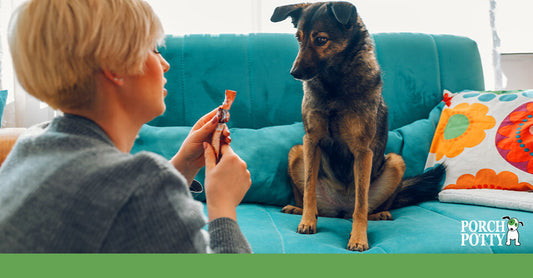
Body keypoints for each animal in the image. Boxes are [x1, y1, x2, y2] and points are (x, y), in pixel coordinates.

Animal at [270, 0, 444, 252]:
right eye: (298, 39)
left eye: (320, 39)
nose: (294, 73)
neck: (334, 84)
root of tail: (339, 209)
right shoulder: (311, 141)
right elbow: (309, 189)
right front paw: (307, 221)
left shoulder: (363, 152)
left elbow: (360, 205)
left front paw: (359, 237)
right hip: (296, 152)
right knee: (310, 199)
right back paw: (298, 209)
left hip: (395, 162)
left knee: (368, 207)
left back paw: (380, 214)